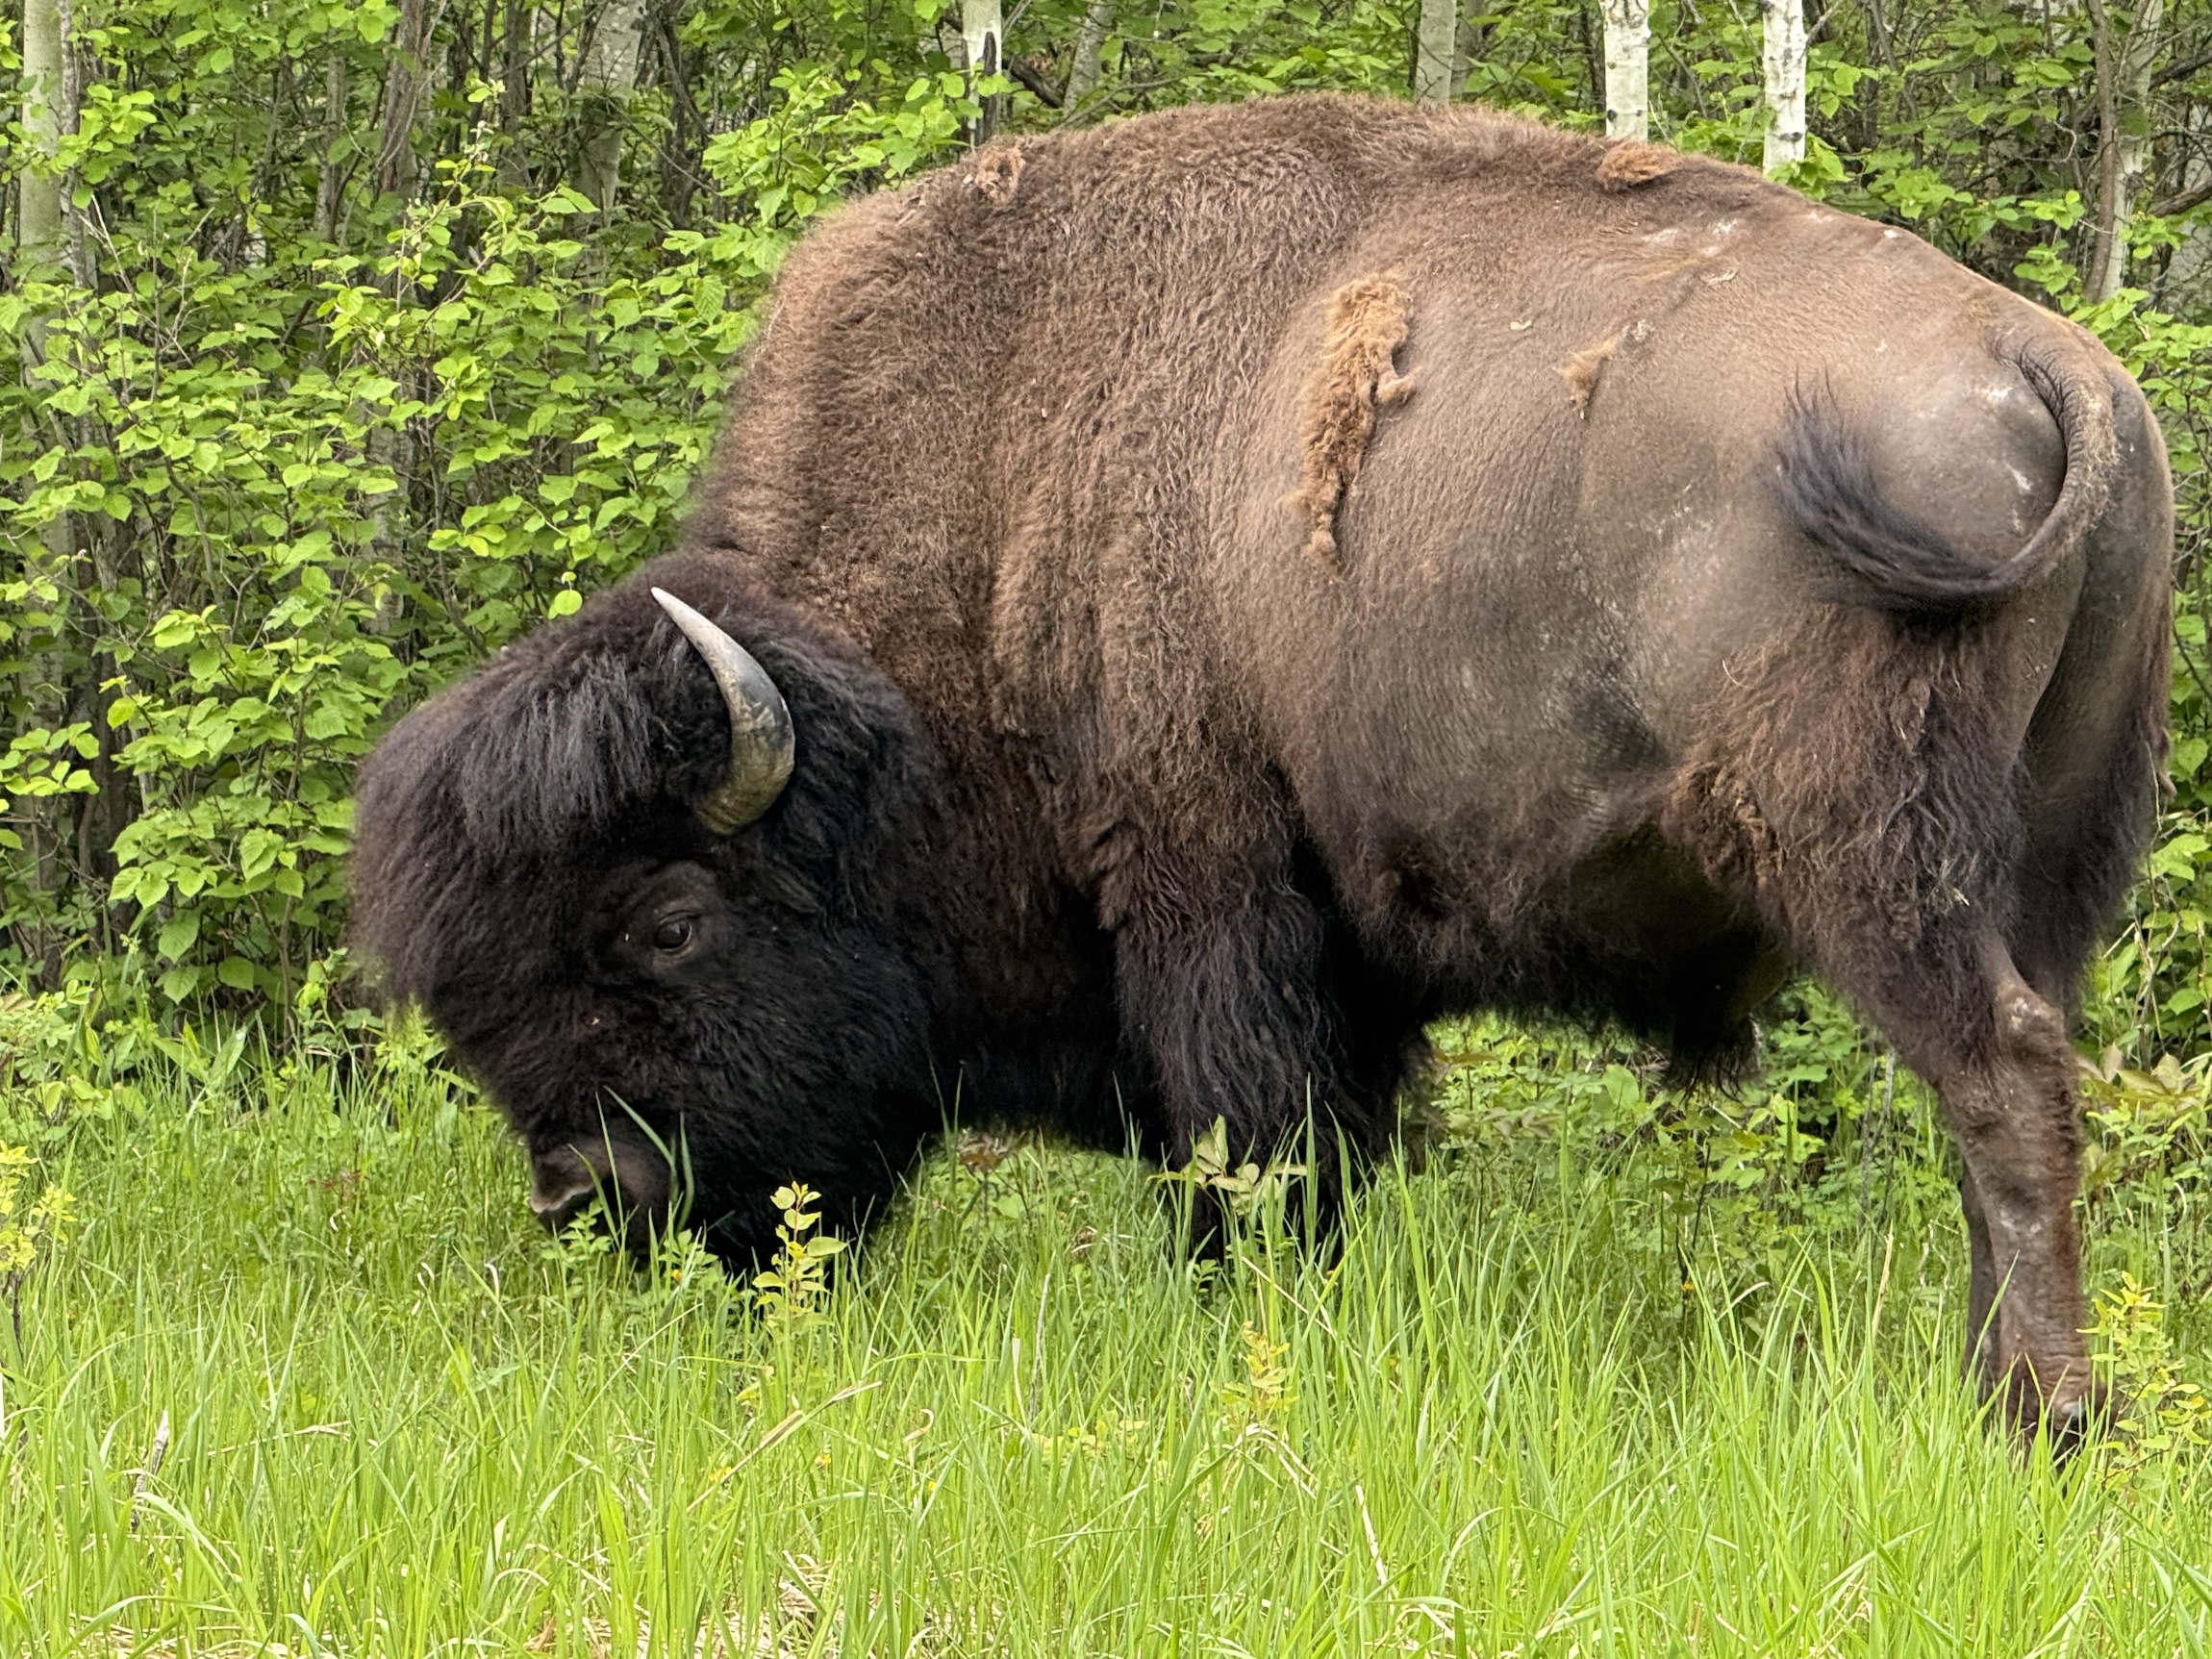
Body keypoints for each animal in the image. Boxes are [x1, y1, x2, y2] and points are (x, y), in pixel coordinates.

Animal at [351, 94, 2172, 1442]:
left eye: (667, 922)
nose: (587, 1192)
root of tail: (2057, 371)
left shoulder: (1209, 891)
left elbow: (1253, 1149)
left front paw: (1253, 1337)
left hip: (1868, 856)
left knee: (1996, 1076)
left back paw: (2040, 1418)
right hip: (2052, 864)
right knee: (2028, 1084)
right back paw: (2001, 1385)